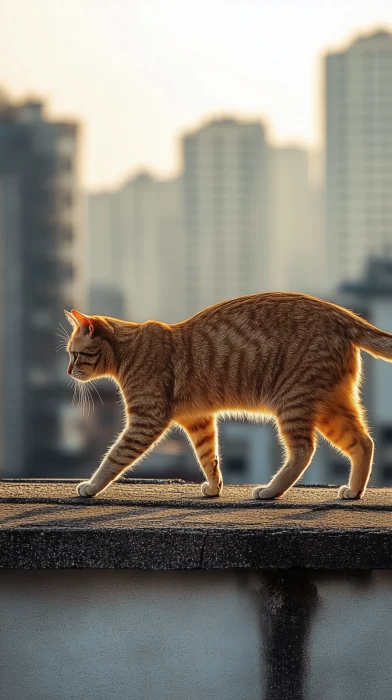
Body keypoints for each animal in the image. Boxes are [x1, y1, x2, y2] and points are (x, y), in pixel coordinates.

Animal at [63, 292, 392, 500]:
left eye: (75, 354)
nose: (67, 371)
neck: (129, 351)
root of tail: (343, 314)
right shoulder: (199, 421)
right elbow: (209, 457)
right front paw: (214, 487)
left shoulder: (146, 421)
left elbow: (114, 457)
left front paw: (91, 486)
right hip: (331, 407)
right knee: (364, 443)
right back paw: (354, 491)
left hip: (294, 402)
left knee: (303, 451)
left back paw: (271, 491)